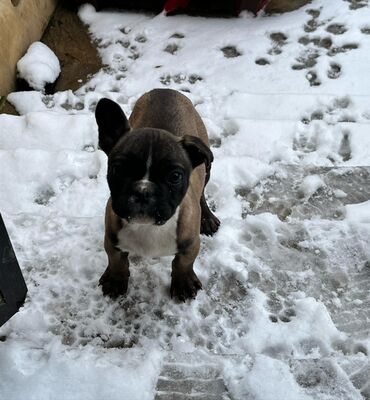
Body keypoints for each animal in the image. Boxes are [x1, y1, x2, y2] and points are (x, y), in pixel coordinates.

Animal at [94, 87, 220, 300]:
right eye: (118, 169)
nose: (143, 191)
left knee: (202, 193)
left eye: (175, 176)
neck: (149, 227)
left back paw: (208, 218)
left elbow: (183, 263)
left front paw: (184, 282)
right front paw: (115, 280)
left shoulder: (191, 244)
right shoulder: (111, 238)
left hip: (207, 167)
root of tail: (165, 89)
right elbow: (116, 260)